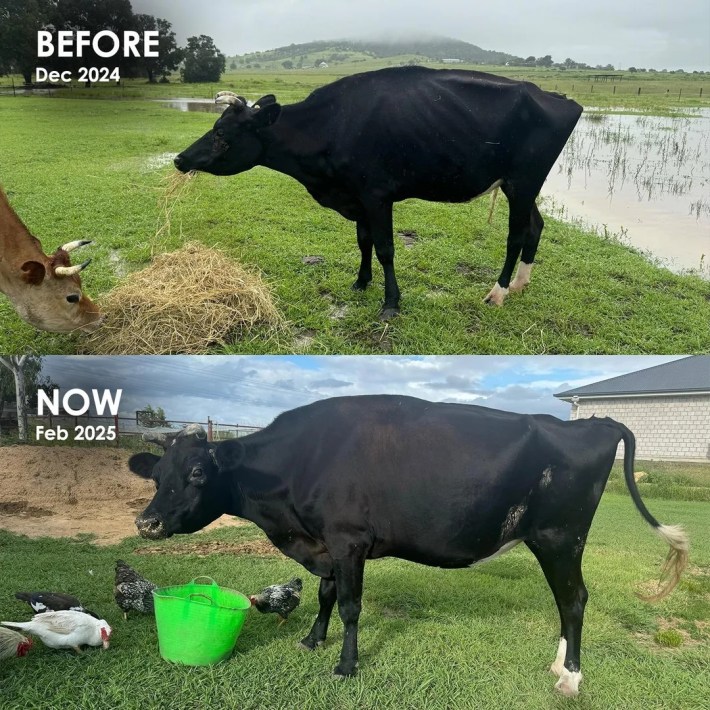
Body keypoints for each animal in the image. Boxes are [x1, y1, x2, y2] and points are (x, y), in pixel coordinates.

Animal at [128, 395, 688, 697]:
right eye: (156, 475)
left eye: (197, 473)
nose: (146, 523)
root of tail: (596, 422)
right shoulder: (326, 543)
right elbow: (325, 595)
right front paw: (312, 640)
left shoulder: (348, 539)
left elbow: (350, 605)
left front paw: (345, 666)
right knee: (567, 601)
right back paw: (558, 664)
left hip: (560, 537)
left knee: (574, 599)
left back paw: (570, 679)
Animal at [173, 66, 583, 319]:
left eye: (222, 135)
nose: (179, 158)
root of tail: (558, 96)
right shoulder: (356, 196)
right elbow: (363, 240)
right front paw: (361, 281)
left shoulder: (376, 194)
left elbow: (386, 247)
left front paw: (391, 303)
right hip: (524, 188)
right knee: (536, 227)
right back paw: (520, 284)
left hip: (522, 182)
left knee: (516, 235)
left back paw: (497, 292)